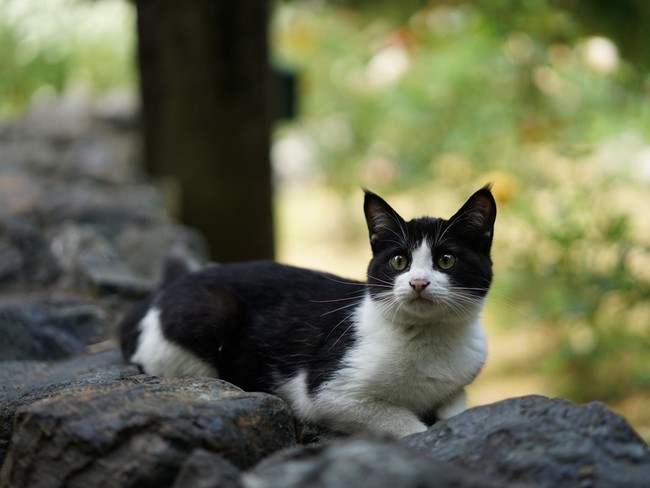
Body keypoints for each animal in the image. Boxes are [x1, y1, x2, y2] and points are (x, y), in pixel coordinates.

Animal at [120, 187, 496, 438]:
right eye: (399, 261)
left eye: (446, 260)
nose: (418, 282)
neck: (429, 337)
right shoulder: (326, 393)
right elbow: (402, 422)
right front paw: (421, 429)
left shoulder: (460, 381)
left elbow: (455, 404)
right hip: (208, 311)